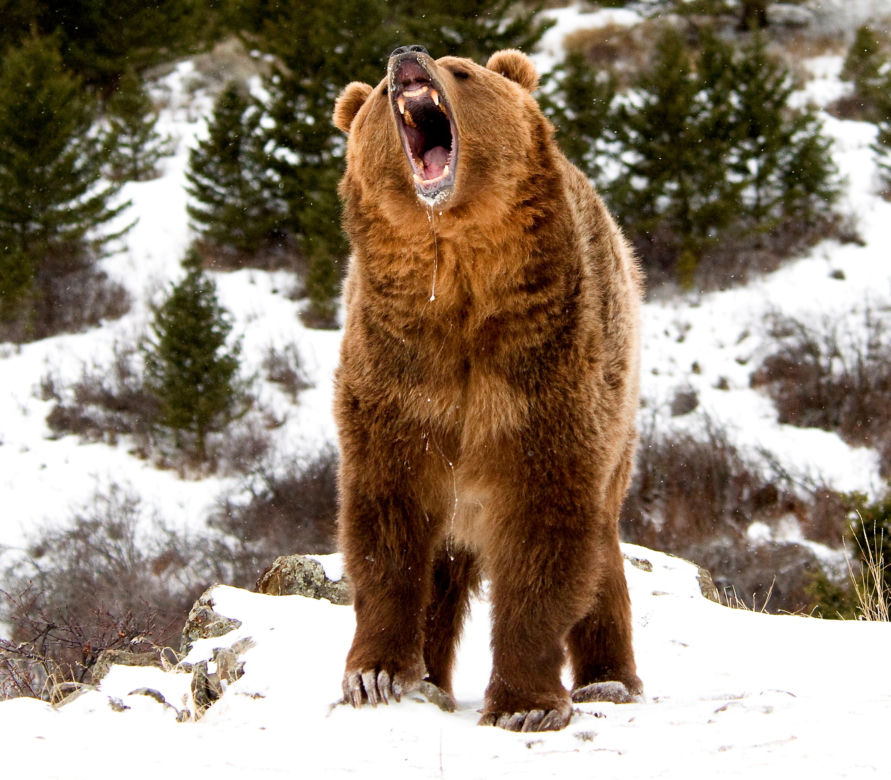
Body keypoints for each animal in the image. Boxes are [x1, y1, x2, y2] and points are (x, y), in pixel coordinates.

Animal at [331, 45, 643, 732]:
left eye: (463, 71)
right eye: (376, 99)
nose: (406, 57)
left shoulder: (542, 376)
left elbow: (545, 534)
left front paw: (525, 703)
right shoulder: (401, 377)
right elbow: (386, 526)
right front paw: (375, 674)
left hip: (619, 418)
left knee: (602, 556)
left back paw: (609, 681)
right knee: (443, 574)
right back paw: (433, 677)